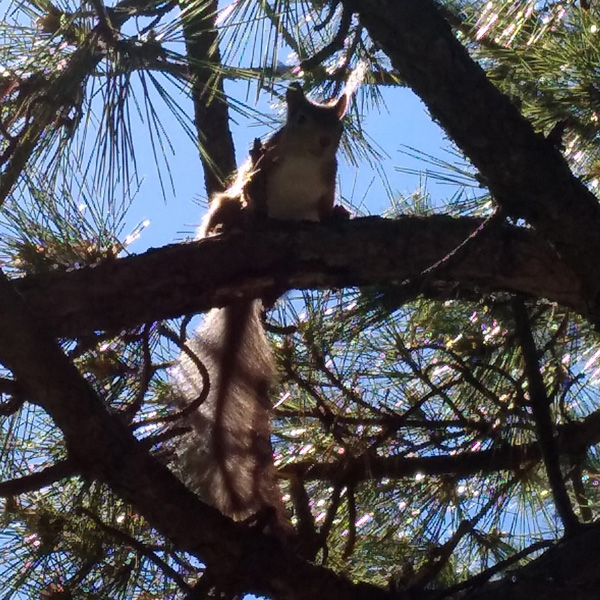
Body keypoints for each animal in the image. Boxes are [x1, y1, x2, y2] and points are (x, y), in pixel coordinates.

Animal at [170, 84, 346, 540]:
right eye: (300, 119)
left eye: (338, 125)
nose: (325, 141)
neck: (304, 162)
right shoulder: (263, 168)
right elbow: (254, 187)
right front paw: (253, 205)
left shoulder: (326, 186)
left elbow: (324, 210)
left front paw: (340, 215)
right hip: (224, 206)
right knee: (228, 212)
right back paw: (226, 228)